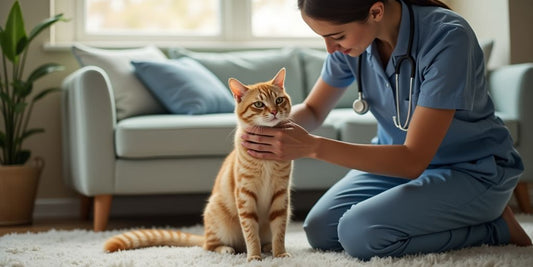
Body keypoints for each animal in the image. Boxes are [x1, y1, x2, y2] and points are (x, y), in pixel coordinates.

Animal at [103, 68, 296, 262]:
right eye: (259, 104)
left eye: (279, 100)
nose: (274, 111)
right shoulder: (245, 195)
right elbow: (250, 233)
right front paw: (254, 257)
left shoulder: (281, 195)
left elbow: (279, 231)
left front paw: (280, 254)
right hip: (218, 217)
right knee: (211, 246)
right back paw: (227, 249)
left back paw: (268, 247)